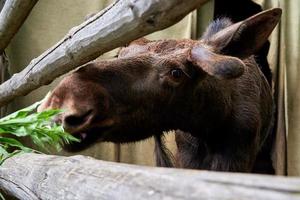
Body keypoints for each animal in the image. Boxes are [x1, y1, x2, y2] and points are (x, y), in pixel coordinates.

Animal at [37, 8, 282, 173]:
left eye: (177, 73)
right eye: (118, 54)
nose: (61, 104)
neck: (210, 127)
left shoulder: (237, 157)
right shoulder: (186, 157)